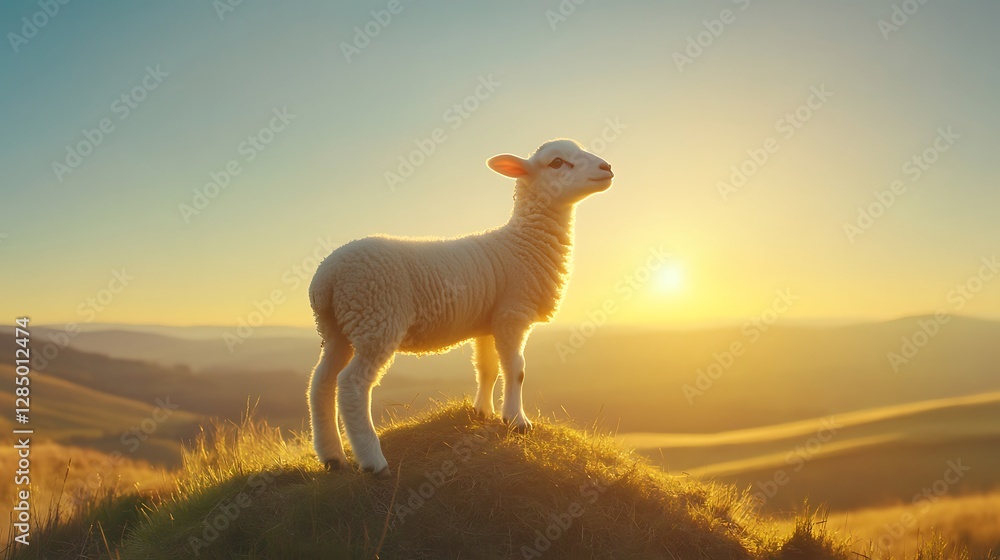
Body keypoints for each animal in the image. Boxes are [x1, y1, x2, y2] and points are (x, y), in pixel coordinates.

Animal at [307, 139, 614, 477]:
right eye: (557, 162)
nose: (607, 168)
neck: (524, 242)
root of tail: (328, 275)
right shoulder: (513, 313)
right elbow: (516, 369)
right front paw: (517, 422)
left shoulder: (488, 323)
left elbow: (487, 369)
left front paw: (483, 412)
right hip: (376, 318)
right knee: (352, 385)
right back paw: (373, 461)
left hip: (338, 327)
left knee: (320, 382)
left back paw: (332, 456)